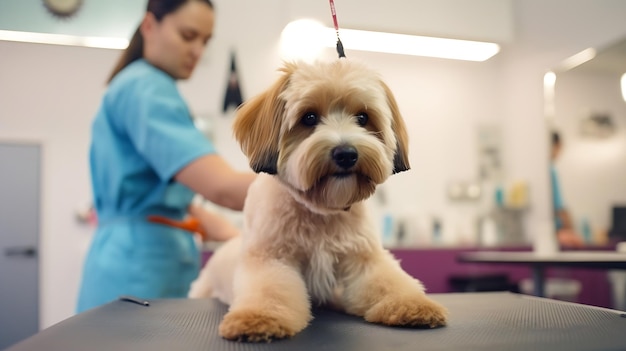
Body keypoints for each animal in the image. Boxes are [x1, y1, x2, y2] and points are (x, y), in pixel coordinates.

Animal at [188, 59, 446, 342]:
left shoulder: (365, 258)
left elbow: (388, 282)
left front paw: (413, 304)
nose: (346, 154)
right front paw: (257, 318)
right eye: (309, 117)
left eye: (363, 118)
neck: (322, 212)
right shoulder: (270, 259)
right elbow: (269, 290)